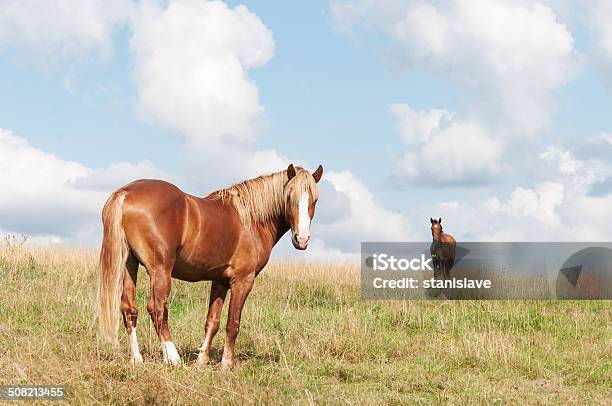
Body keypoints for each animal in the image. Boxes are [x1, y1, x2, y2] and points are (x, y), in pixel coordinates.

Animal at [98, 164, 322, 368]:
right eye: (289, 197)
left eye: (315, 200)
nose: (302, 240)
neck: (251, 220)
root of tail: (125, 193)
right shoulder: (243, 280)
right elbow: (233, 323)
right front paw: (227, 363)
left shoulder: (219, 281)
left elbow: (212, 322)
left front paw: (202, 360)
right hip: (160, 270)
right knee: (157, 308)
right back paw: (173, 358)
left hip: (129, 265)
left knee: (129, 309)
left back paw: (137, 359)